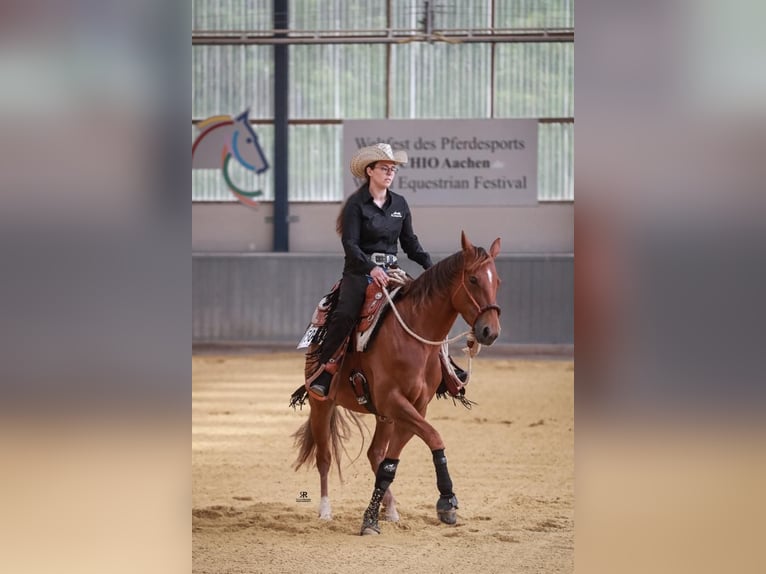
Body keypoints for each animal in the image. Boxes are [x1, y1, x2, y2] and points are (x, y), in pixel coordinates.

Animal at [292, 232, 500, 536]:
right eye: (473, 279)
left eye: (497, 281)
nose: (490, 332)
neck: (414, 336)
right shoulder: (395, 401)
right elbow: (435, 437)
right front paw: (447, 500)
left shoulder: (413, 407)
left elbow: (390, 463)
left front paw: (373, 517)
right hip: (323, 404)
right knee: (324, 456)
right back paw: (325, 510)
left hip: (383, 416)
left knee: (375, 453)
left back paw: (390, 509)